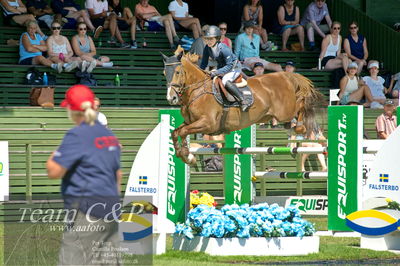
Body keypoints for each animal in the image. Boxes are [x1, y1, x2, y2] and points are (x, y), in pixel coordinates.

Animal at [162, 52, 322, 164]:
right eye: (164, 73)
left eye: (177, 72)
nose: (171, 98)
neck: (198, 90)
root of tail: (286, 75)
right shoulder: (191, 122)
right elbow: (176, 132)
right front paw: (185, 155)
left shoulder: (207, 124)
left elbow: (183, 132)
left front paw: (187, 156)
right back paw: (293, 128)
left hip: (285, 111)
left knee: (301, 105)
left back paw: (300, 127)